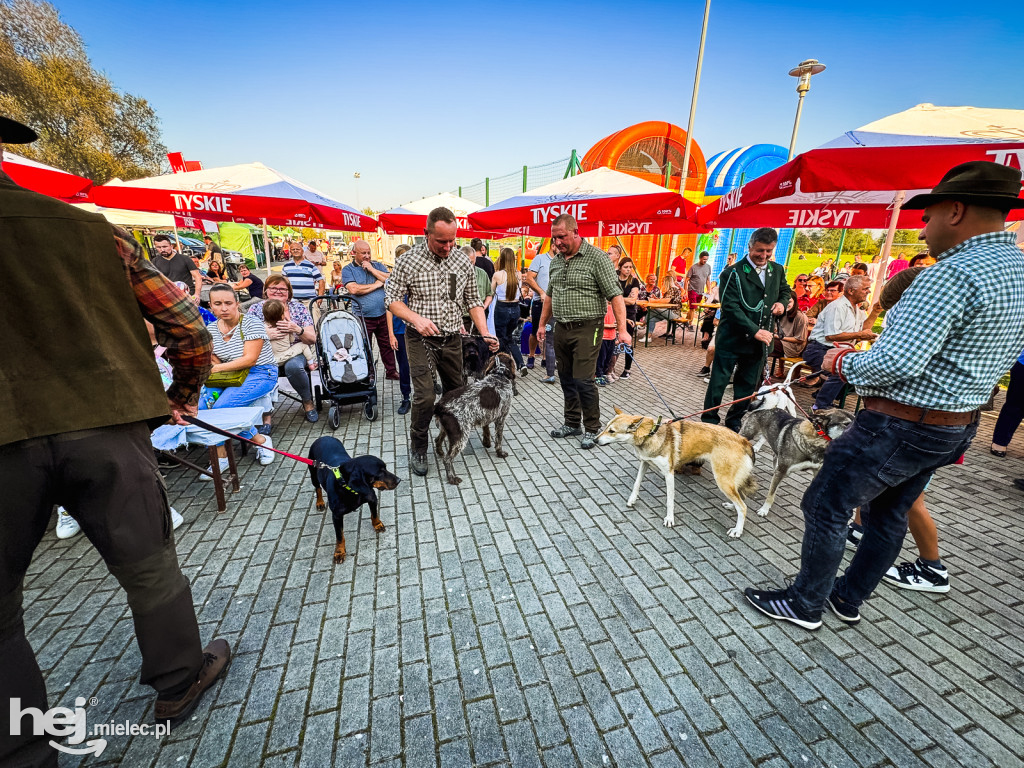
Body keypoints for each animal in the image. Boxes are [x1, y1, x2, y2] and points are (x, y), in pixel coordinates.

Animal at [432, 352, 520, 483]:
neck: (499, 375)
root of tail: (440, 405)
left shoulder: (486, 415)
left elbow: (486, 429)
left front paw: (487, 442)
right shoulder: (501, 419)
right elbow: (499, 439)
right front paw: (499, 452)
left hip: (448, 429)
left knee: (438, 440)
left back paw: (440, 452)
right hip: (460, 436)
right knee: (447, 460)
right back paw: (452, 478)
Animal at [593, 409, 761, 540]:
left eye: (612, 431)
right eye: (606, 427)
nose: (594, 440)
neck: (651, 434)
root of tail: (744, 440)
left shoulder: (669, 474)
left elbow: (669, 500)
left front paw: (669, 519)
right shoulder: (644, 463)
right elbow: (636, 484)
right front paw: (632, 500)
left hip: (723, 481)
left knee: (743, 507)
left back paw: (737, 530)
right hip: (730, 481)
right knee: (741, 499)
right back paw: (731, 507)